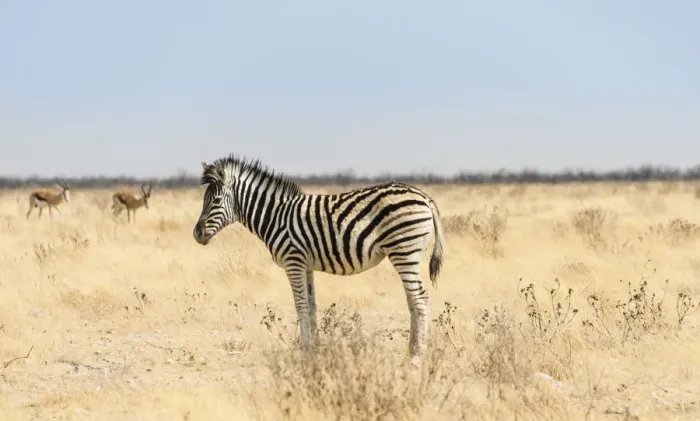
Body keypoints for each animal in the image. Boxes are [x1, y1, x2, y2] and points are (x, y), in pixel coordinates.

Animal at [193, 155, 445, 364]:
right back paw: (409, 353)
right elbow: (312, 306)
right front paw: (316, 350)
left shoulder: (293, 261)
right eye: (204, 200)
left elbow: (301, 306)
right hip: (408, 254)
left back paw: (415, 358)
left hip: (404, 251)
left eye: (215, 201)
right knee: (413, 301)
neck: (275, 216)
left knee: (420, 299)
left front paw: (305, 352)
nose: (196, 234)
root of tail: (424, 196)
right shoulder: (306, 265)